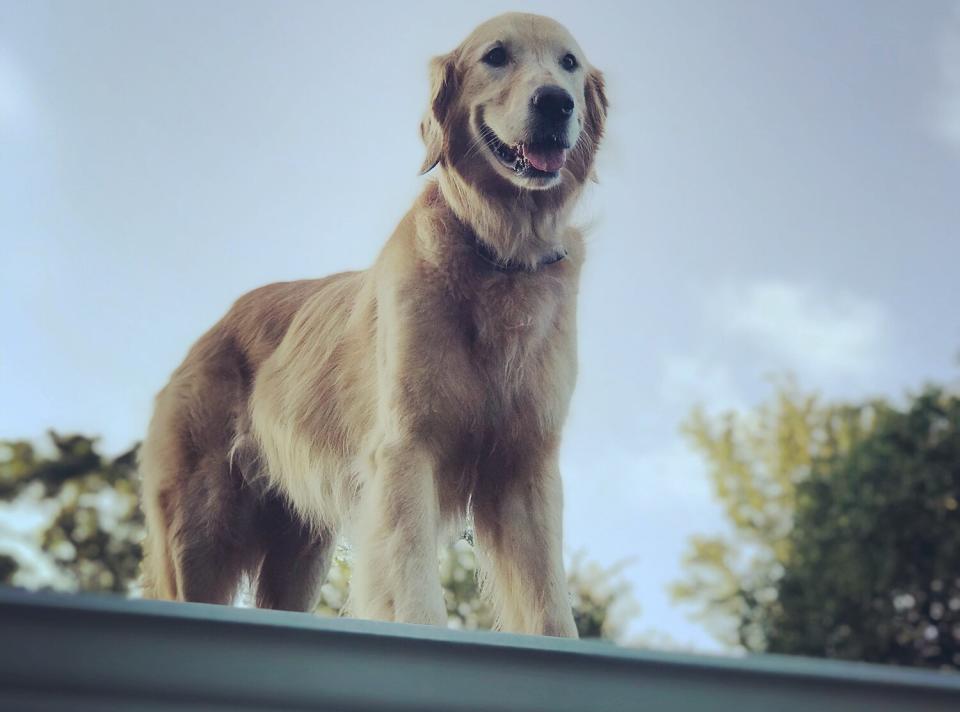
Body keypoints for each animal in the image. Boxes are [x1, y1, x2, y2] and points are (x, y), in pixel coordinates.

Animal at [139, 11, 604, 636]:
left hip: (299, 554)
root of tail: (210, 332)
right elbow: (412, 586)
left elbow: (550, 609)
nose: (556, 102)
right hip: (201, 531)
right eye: (496, 56)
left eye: (569, 63)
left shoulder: (524, 465)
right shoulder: (406, 451)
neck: (499, 253)